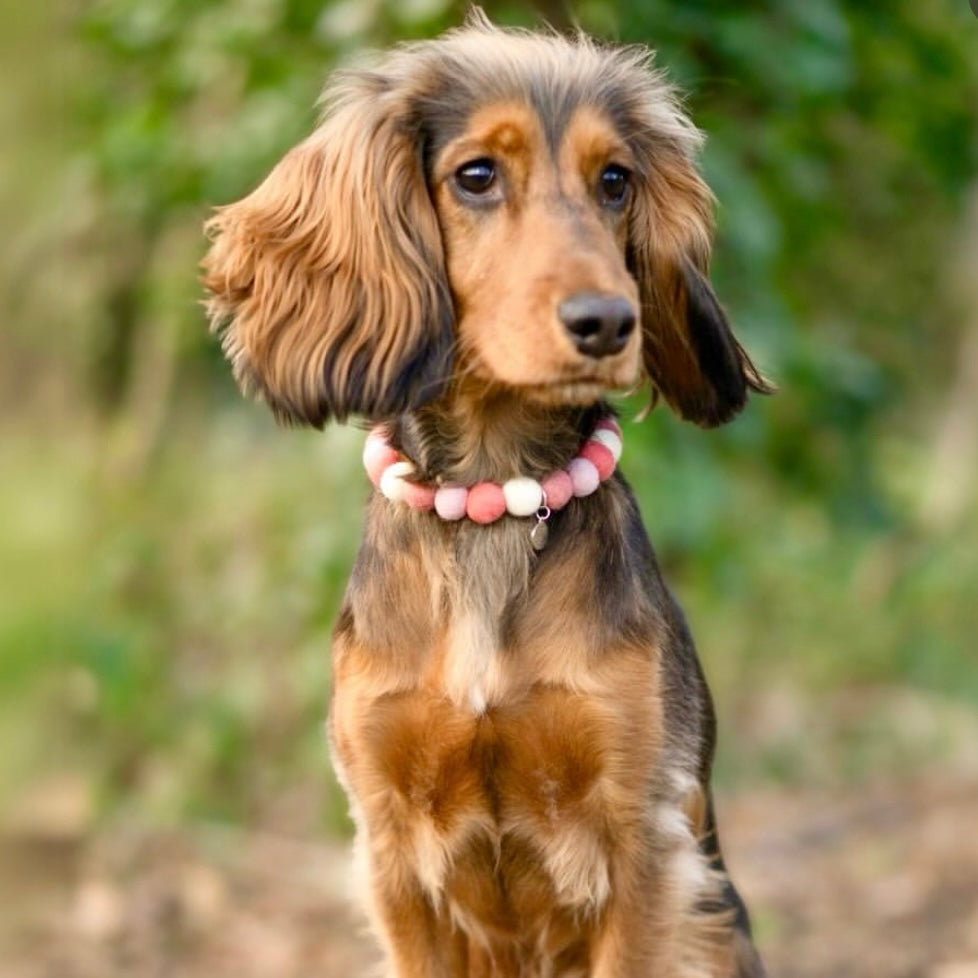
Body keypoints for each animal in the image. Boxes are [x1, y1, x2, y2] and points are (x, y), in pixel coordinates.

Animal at [202, 9, 772, 976]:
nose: (608, 322)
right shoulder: (392, 851)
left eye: (614, 181)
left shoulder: (645, 843)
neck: (495, 501)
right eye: (476, 175)